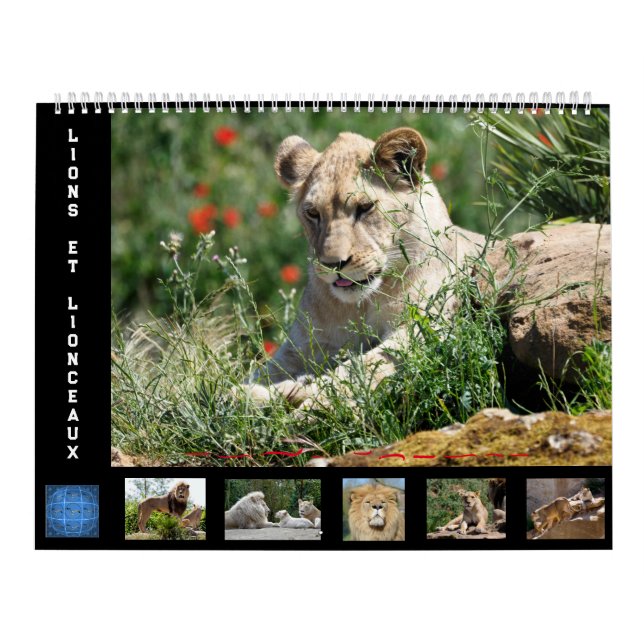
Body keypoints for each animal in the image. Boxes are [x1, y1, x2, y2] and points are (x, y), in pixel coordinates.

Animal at [247, 127, 483, 408]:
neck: (362, 305)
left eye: (365, 207)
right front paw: (247, 394)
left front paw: (307, 399)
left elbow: (357, 370)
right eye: (313, 213)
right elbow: (261, 374)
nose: (333, 263)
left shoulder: (423, 328)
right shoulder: (303, 345)